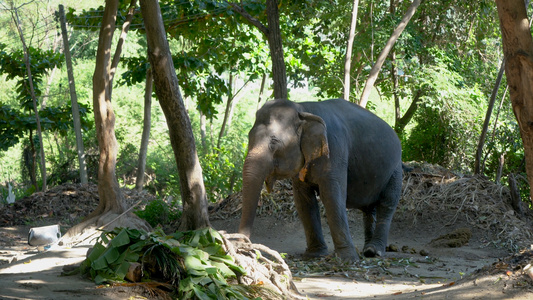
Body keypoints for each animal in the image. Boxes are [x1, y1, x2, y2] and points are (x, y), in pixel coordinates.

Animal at [239, 98, 402, 260]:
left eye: (274, 142)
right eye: (248, 137)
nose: (244, 247)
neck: (303, 108)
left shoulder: (335, 150)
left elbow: (331, 195)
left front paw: (348, 258)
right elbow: (303, 200)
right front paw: (314, 254)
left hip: (395, 170)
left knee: (387, 203)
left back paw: (374, 251)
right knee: (369, 210)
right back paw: (367, 251)